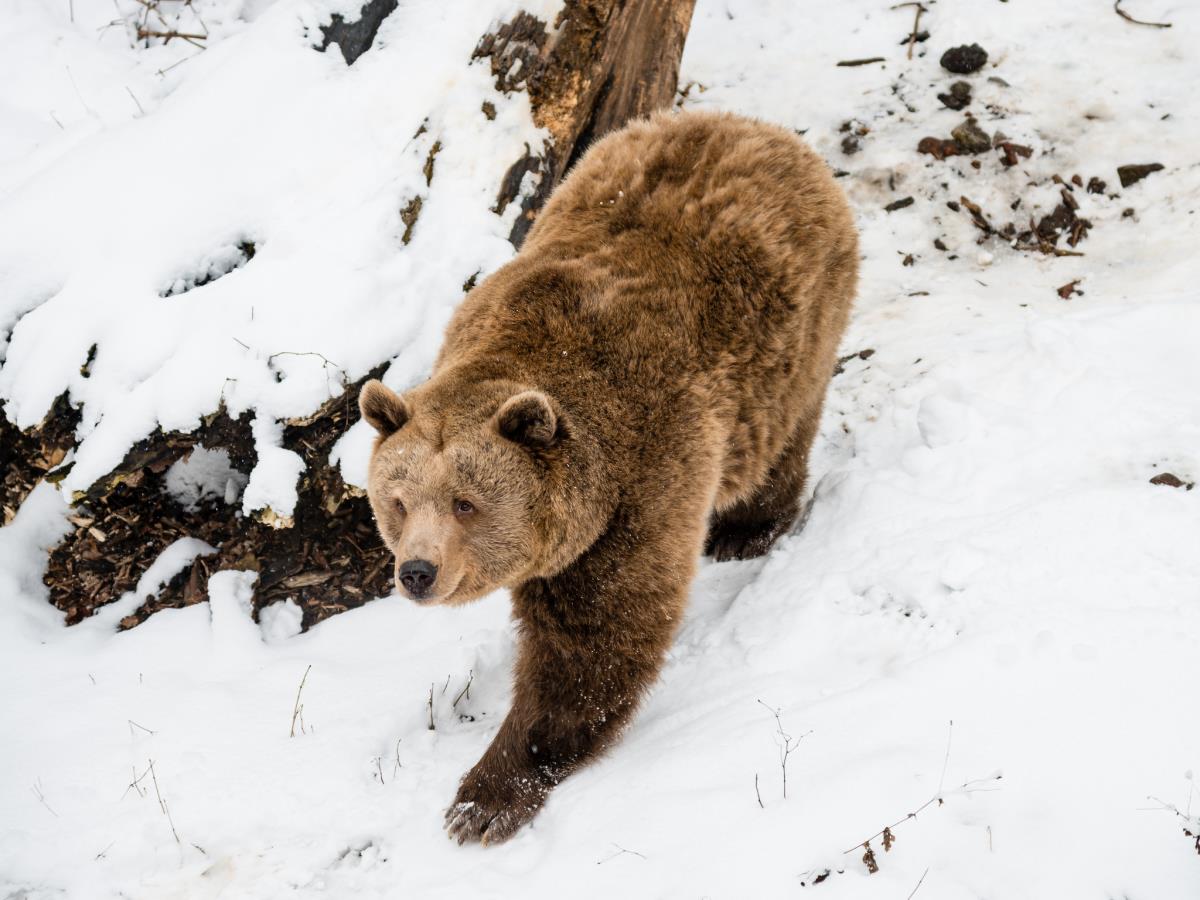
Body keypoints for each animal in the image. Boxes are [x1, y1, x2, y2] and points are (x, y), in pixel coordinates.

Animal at [355, 111, 854, 844]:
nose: (416, 572)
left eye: (465, 503)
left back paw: (746, 530)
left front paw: (484, 798)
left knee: (780, 440)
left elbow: (596, 641)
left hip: (794, 341)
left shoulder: (640, 483)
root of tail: (758, 128)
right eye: (397, 501)